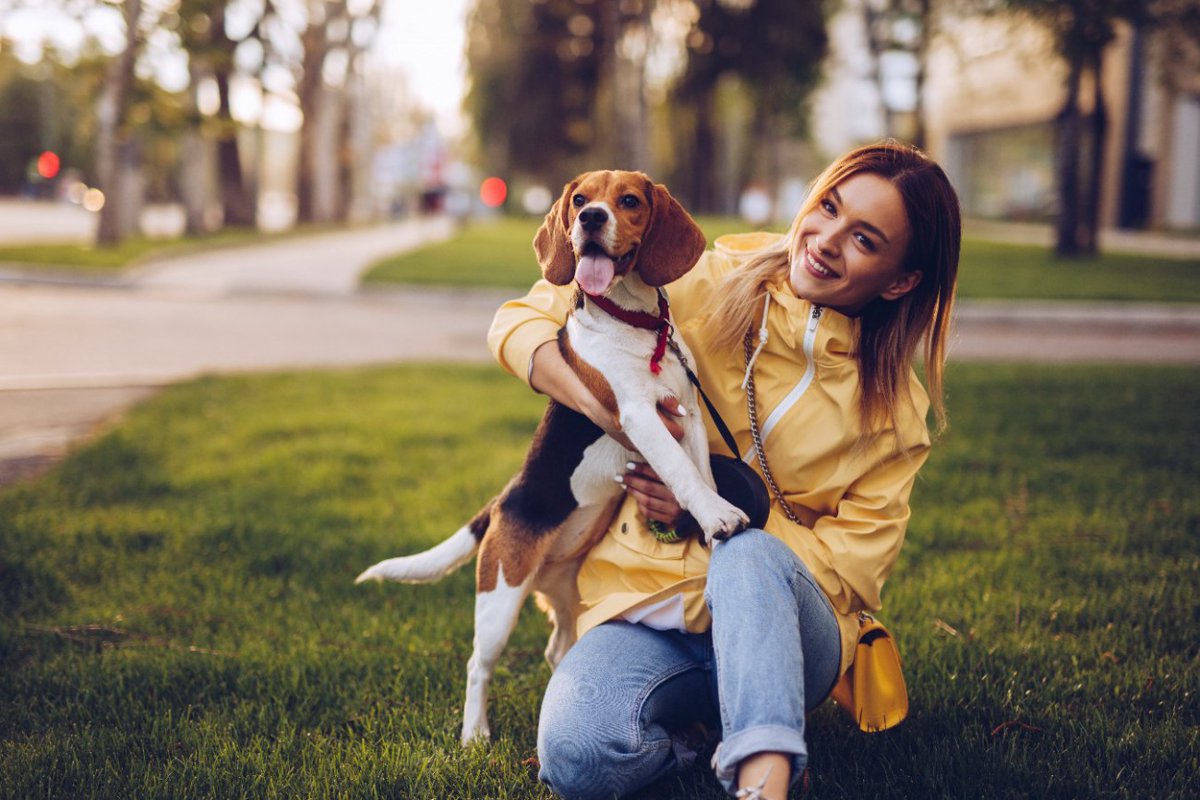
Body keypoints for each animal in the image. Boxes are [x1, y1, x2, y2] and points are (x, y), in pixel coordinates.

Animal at [355, 172, 744, 748]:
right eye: (580, 199)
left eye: (629, 200)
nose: (590, 219)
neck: (635, 325)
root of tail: (501, 502)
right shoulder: (638, 416)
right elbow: (680, 471)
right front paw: (717, 516)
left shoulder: (689, 414)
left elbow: (700, 472)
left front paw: (710, 520)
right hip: (500, 595)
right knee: (478, 665)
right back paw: (474, 736)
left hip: (565, 596)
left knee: (557, 647)